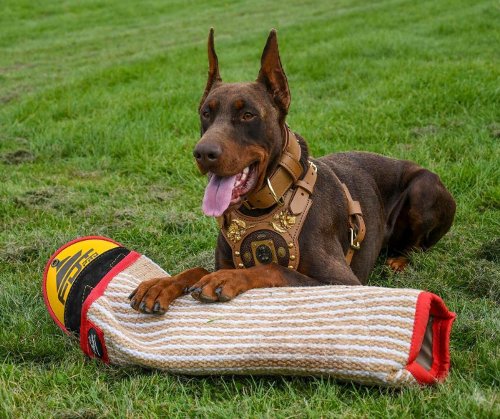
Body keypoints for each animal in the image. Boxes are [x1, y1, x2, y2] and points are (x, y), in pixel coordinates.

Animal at [130, 28, 458, 316]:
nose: (203, 153)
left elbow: (274, 268)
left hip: (423, 188)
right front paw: (162, 284)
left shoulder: (342, 281)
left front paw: (226, 279)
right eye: (205, 113)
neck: (266, 203)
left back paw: (398, 260)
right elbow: (196, 269)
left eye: (247, 114)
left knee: (418, 246)